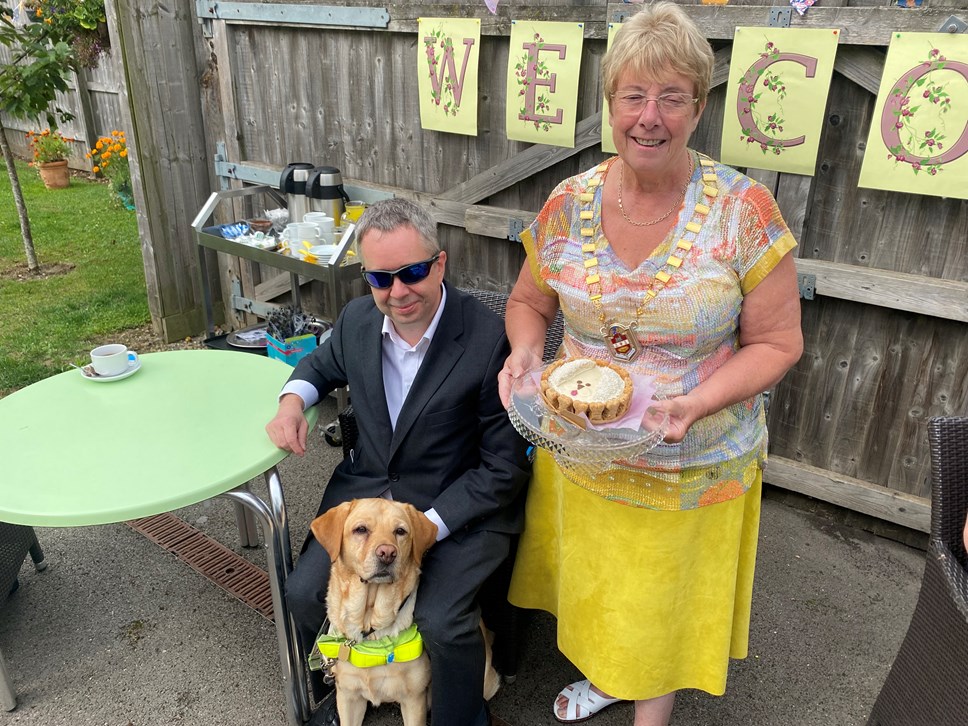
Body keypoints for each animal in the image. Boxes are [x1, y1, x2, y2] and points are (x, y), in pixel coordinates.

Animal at [310, 498, 502, 726]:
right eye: (361, 529)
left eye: (400, 531)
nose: (387, 553)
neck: (371, 628)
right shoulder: (349, 697)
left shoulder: (413, 700)